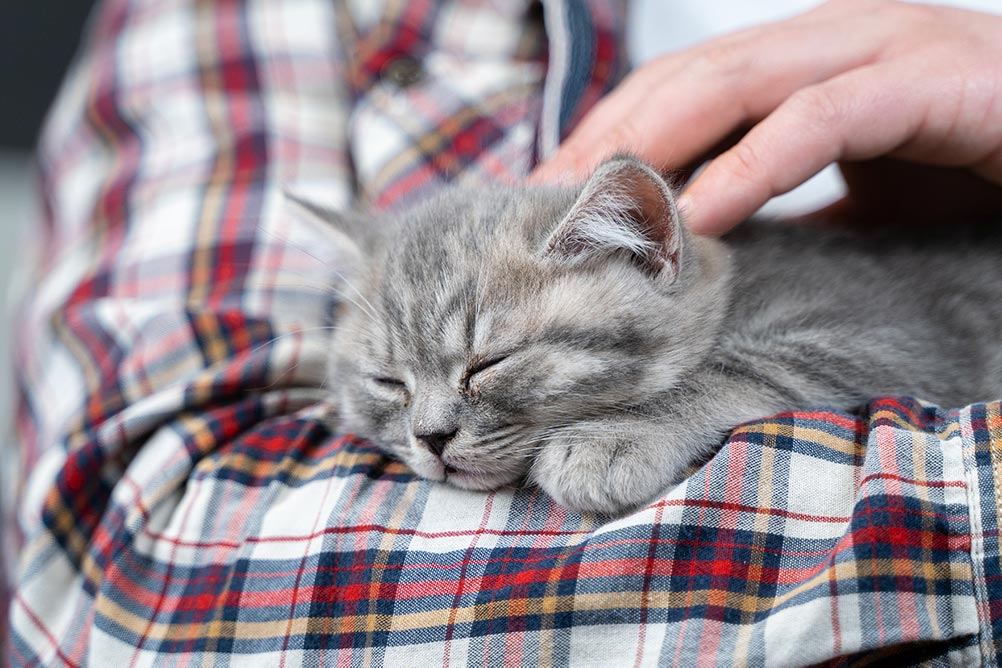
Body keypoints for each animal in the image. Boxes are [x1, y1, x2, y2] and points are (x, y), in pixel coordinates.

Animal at [292, 158, 1002, 516]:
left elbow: (743, 366)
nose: (431, 438)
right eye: (389, 384)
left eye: (491, 363)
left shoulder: (900, 337)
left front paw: (612, 438)